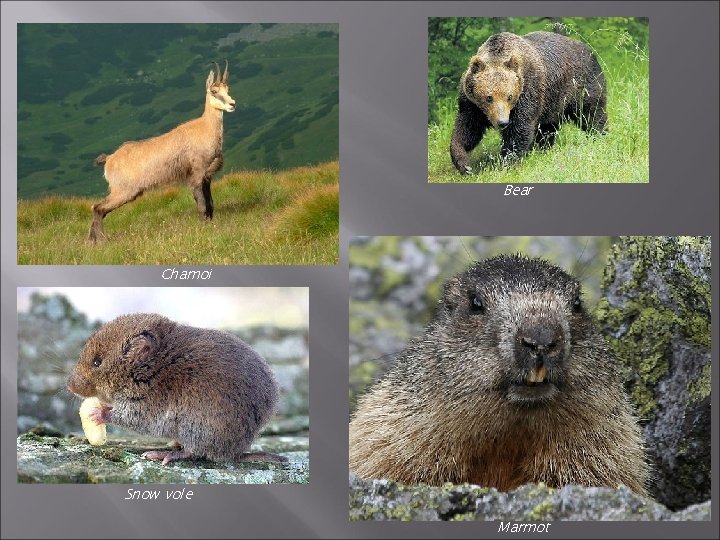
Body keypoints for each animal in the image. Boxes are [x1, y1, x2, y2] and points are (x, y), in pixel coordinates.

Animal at [449, 31, 607, 174]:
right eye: (489, 97)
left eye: (509, 96)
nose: (502, 122)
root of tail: (589, 50)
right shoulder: (472, 105)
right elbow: (468, 129)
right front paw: (464, 164)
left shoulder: (528, 91)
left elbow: (520, 128)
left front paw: (506, 162)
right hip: (552, 103)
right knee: (548, 128)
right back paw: (544, 147)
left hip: (581, 86)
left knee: (592, 113)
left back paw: (599, 136)